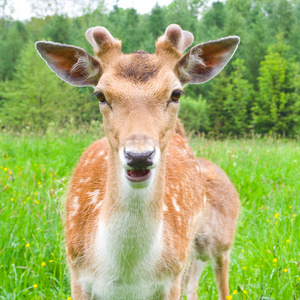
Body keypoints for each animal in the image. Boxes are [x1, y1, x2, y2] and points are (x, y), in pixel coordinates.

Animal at [35, 24, 239, 300]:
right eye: (100, 95)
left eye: (176, 93)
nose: (139, 155)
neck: (126, 276)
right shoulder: (76, 273)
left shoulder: (171, 279)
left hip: (216, 241)